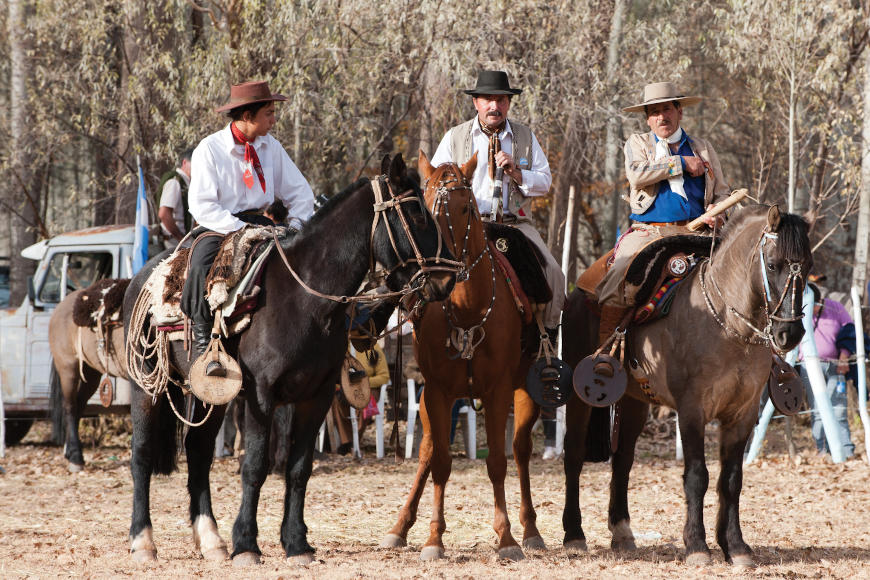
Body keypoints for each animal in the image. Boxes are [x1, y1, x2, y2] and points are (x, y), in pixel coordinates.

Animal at [126, 155, 460, 568]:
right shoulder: (261, 396)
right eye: (415, 213)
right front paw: (246, 544)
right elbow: (255, 466)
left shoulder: (316, 397)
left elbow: (300, 469)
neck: (305, 301)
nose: (447, 279)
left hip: (210, 397)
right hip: (145, 386)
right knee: (142, 455)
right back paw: (143, 541)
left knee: (199, 451)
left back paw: (210, 540)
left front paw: (296, 542)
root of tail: (142, 278)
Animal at [384, 154, 544, 560]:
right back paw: (399, 527)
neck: (469, 310)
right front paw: (433, 539)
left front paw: (507, 538)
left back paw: (531, 530)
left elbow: (498, 462)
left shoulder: (499, 391)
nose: (439, 270)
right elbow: (440, 462)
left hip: (526, 391)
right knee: (428, 452)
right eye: (424, 207)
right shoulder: (437, 392)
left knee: (520, 450)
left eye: (464, 208)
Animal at [564, 205, 816, 568]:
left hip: (634, 401)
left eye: (807, 265)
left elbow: (732, 479)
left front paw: (735, 546)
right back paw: (574, 535)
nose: (789, 333)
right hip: (579, 396)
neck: (727, 325)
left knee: (623, 460)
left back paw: (622, 532)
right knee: (573, 454)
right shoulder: (692, 410)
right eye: (772, 265)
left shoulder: (741, 415)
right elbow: (698, 476)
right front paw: (697, 545)